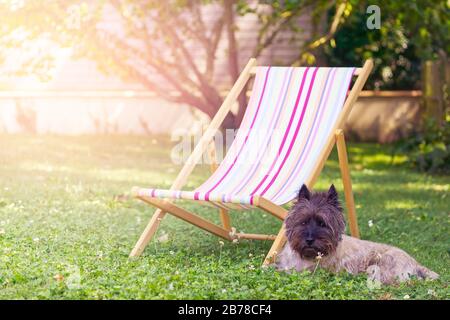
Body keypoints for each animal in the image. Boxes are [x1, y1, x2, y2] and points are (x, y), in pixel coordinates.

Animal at [276, 185, 438, 284]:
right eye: (303, 222)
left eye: (322, 224)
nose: (309, 240)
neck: (306, 256)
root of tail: (415, 262)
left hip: (380, 264)